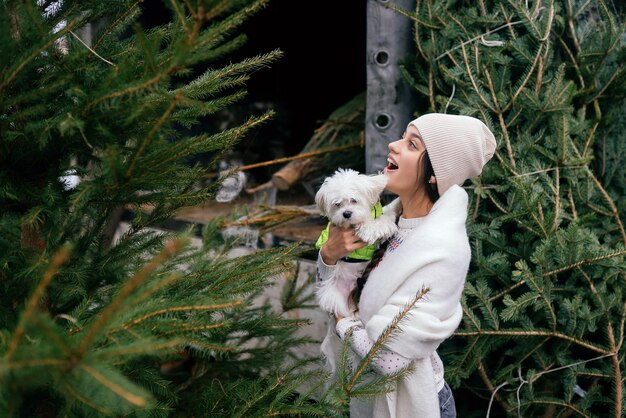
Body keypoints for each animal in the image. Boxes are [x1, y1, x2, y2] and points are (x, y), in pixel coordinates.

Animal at [314, 168, 398, 316]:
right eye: (337, 204)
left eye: (354, 200)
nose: (346, 214)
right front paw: (370, 229)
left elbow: (384, 218)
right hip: (335, 296)